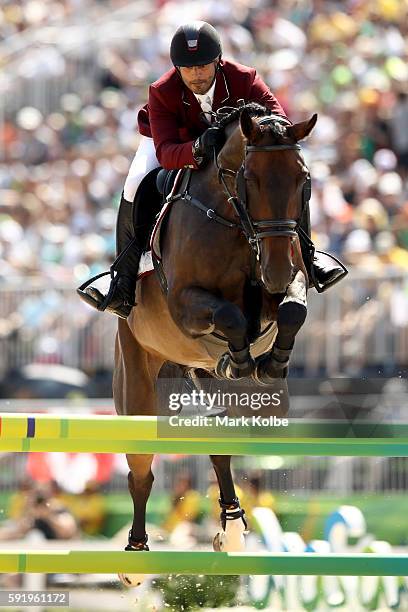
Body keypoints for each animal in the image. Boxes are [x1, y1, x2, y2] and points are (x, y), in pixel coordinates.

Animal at [113, 103, 318, 584]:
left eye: (303, 180)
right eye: (251, 179)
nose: (274, 271)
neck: (233, 222)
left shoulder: (288, 281)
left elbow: (290, 310)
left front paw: (272, 362)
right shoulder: (184, 302)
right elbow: (228, 315)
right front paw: (241, 359)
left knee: (218, 448)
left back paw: (232, 529)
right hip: (136, 383)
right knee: (141, 472)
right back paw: (135, 556)